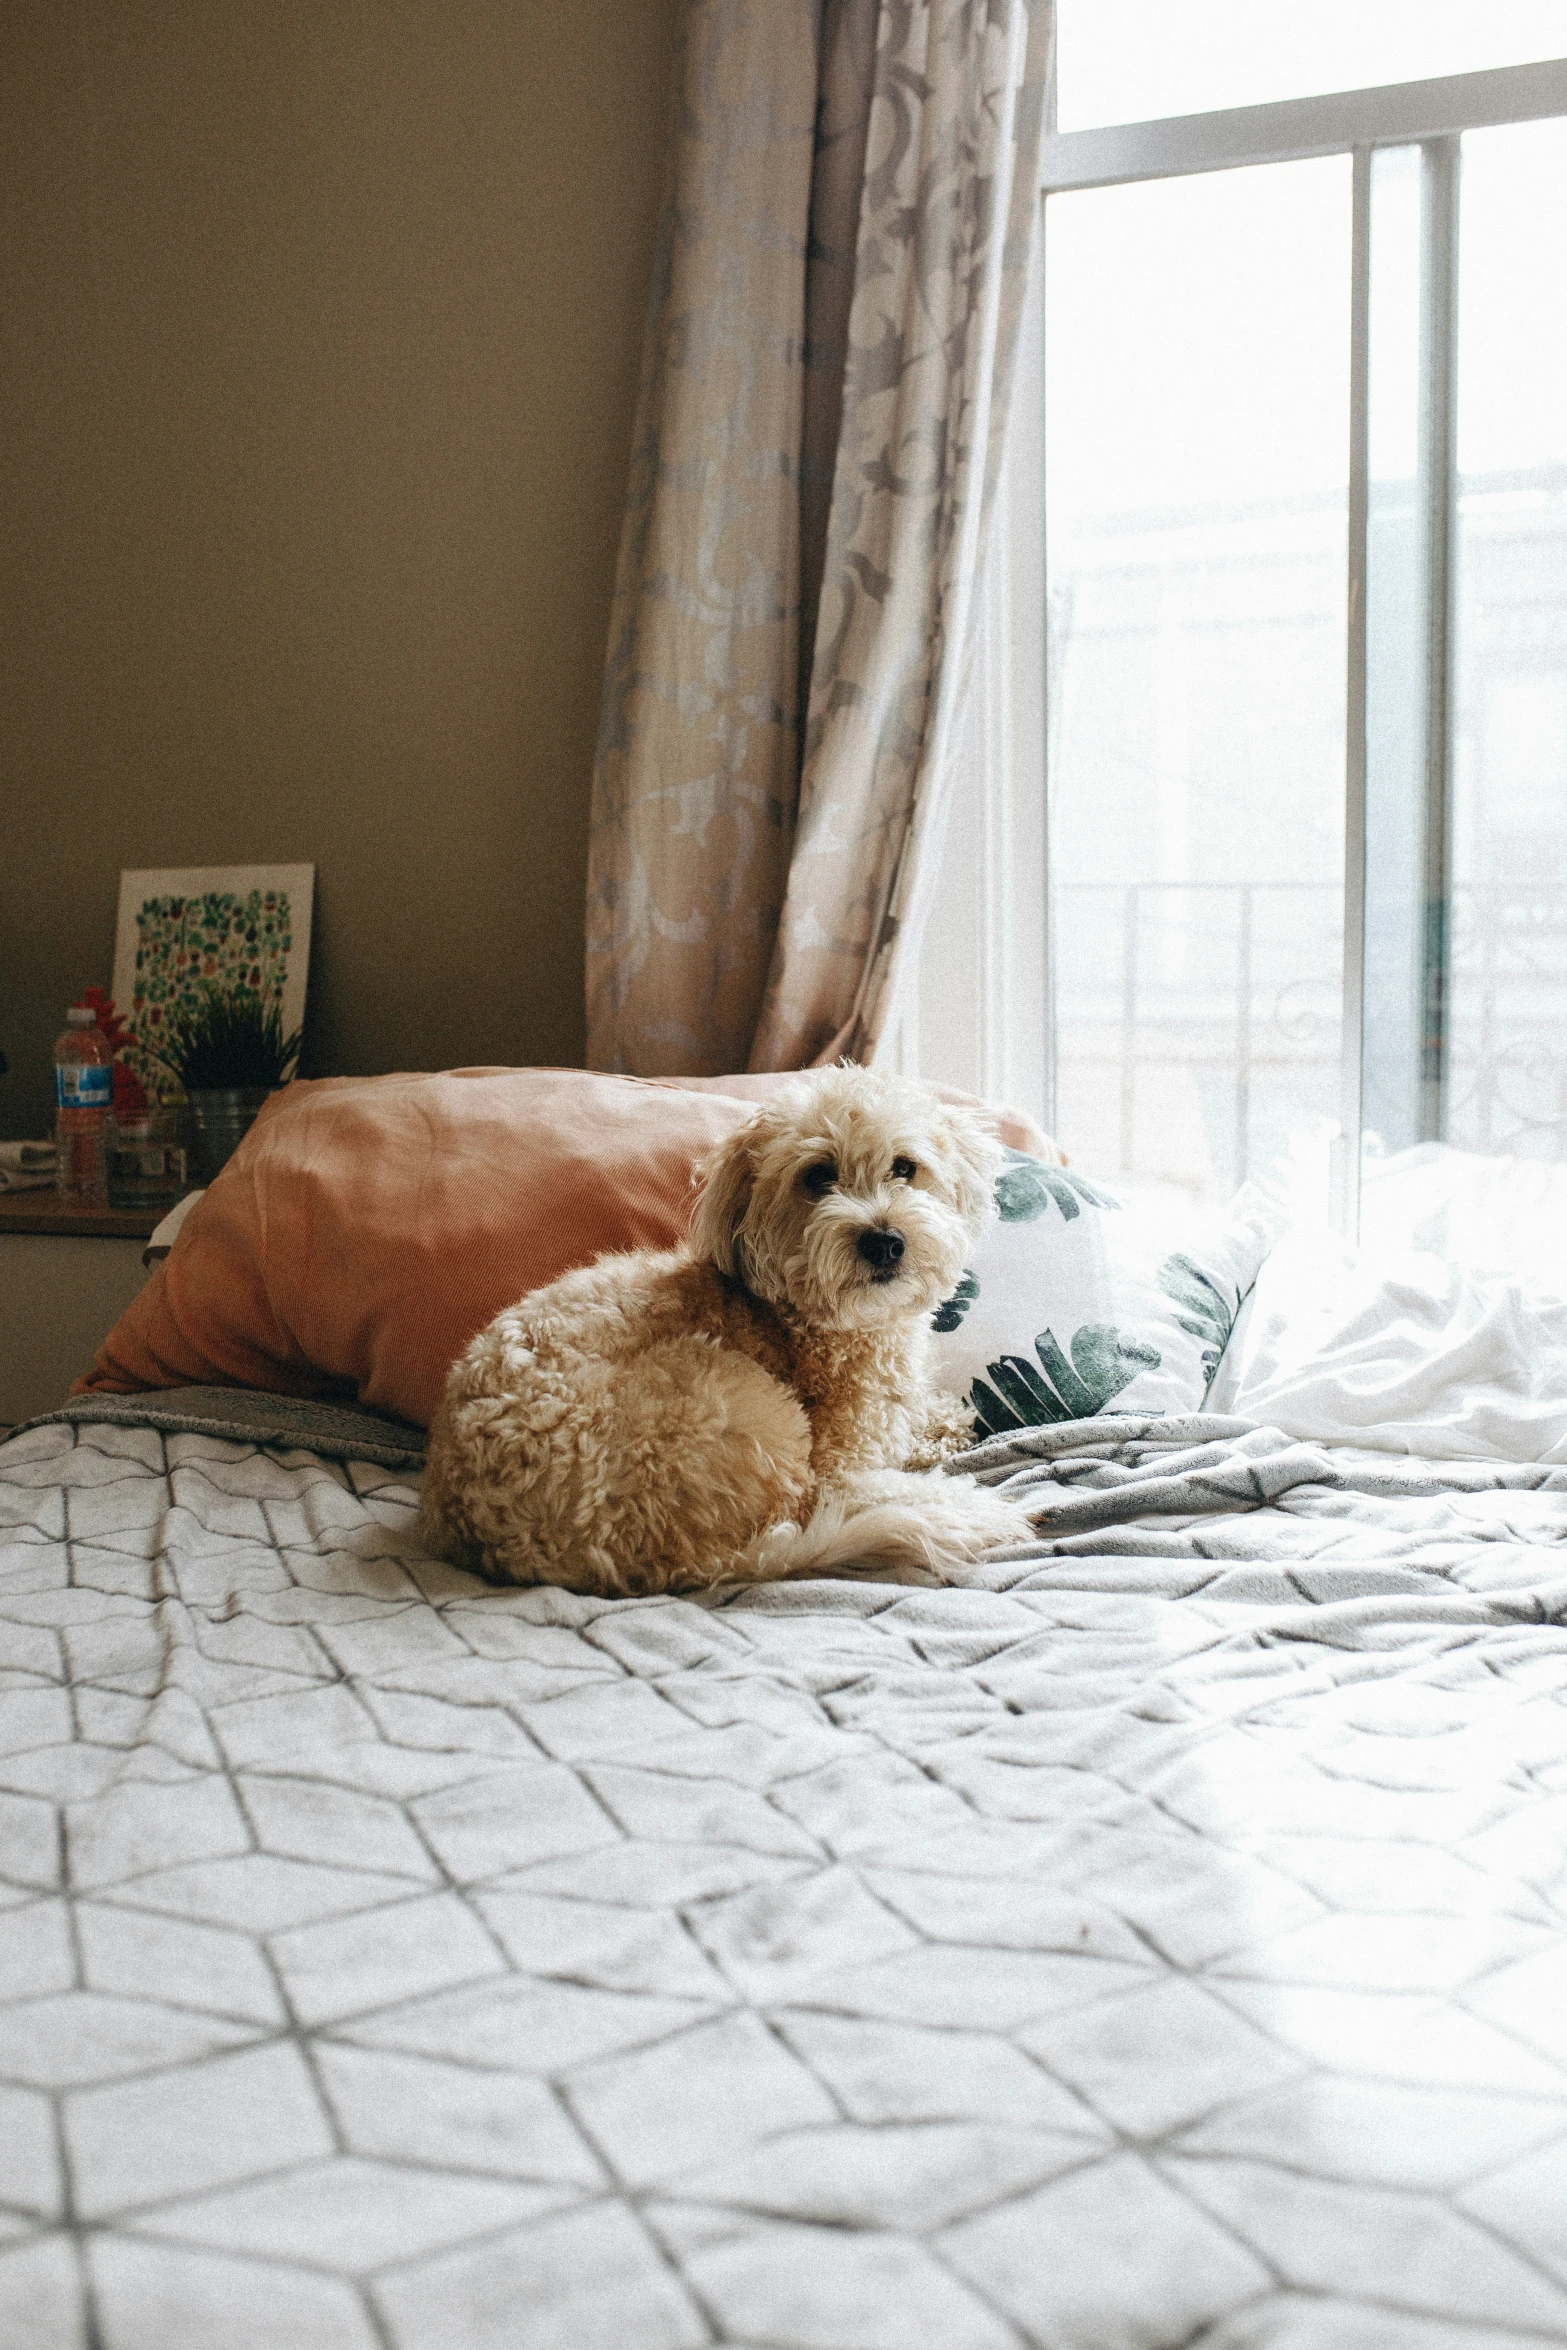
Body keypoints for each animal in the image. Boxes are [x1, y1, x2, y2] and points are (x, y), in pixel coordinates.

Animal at [420, 1066, 1029, 1597]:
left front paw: (943, 1424)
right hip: (754, 1410)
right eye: (818, 1176)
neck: (804, 1318)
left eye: (904, 1168)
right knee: (806, 1504)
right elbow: (874, 1472)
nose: (884, 1241)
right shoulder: (843, 1461)